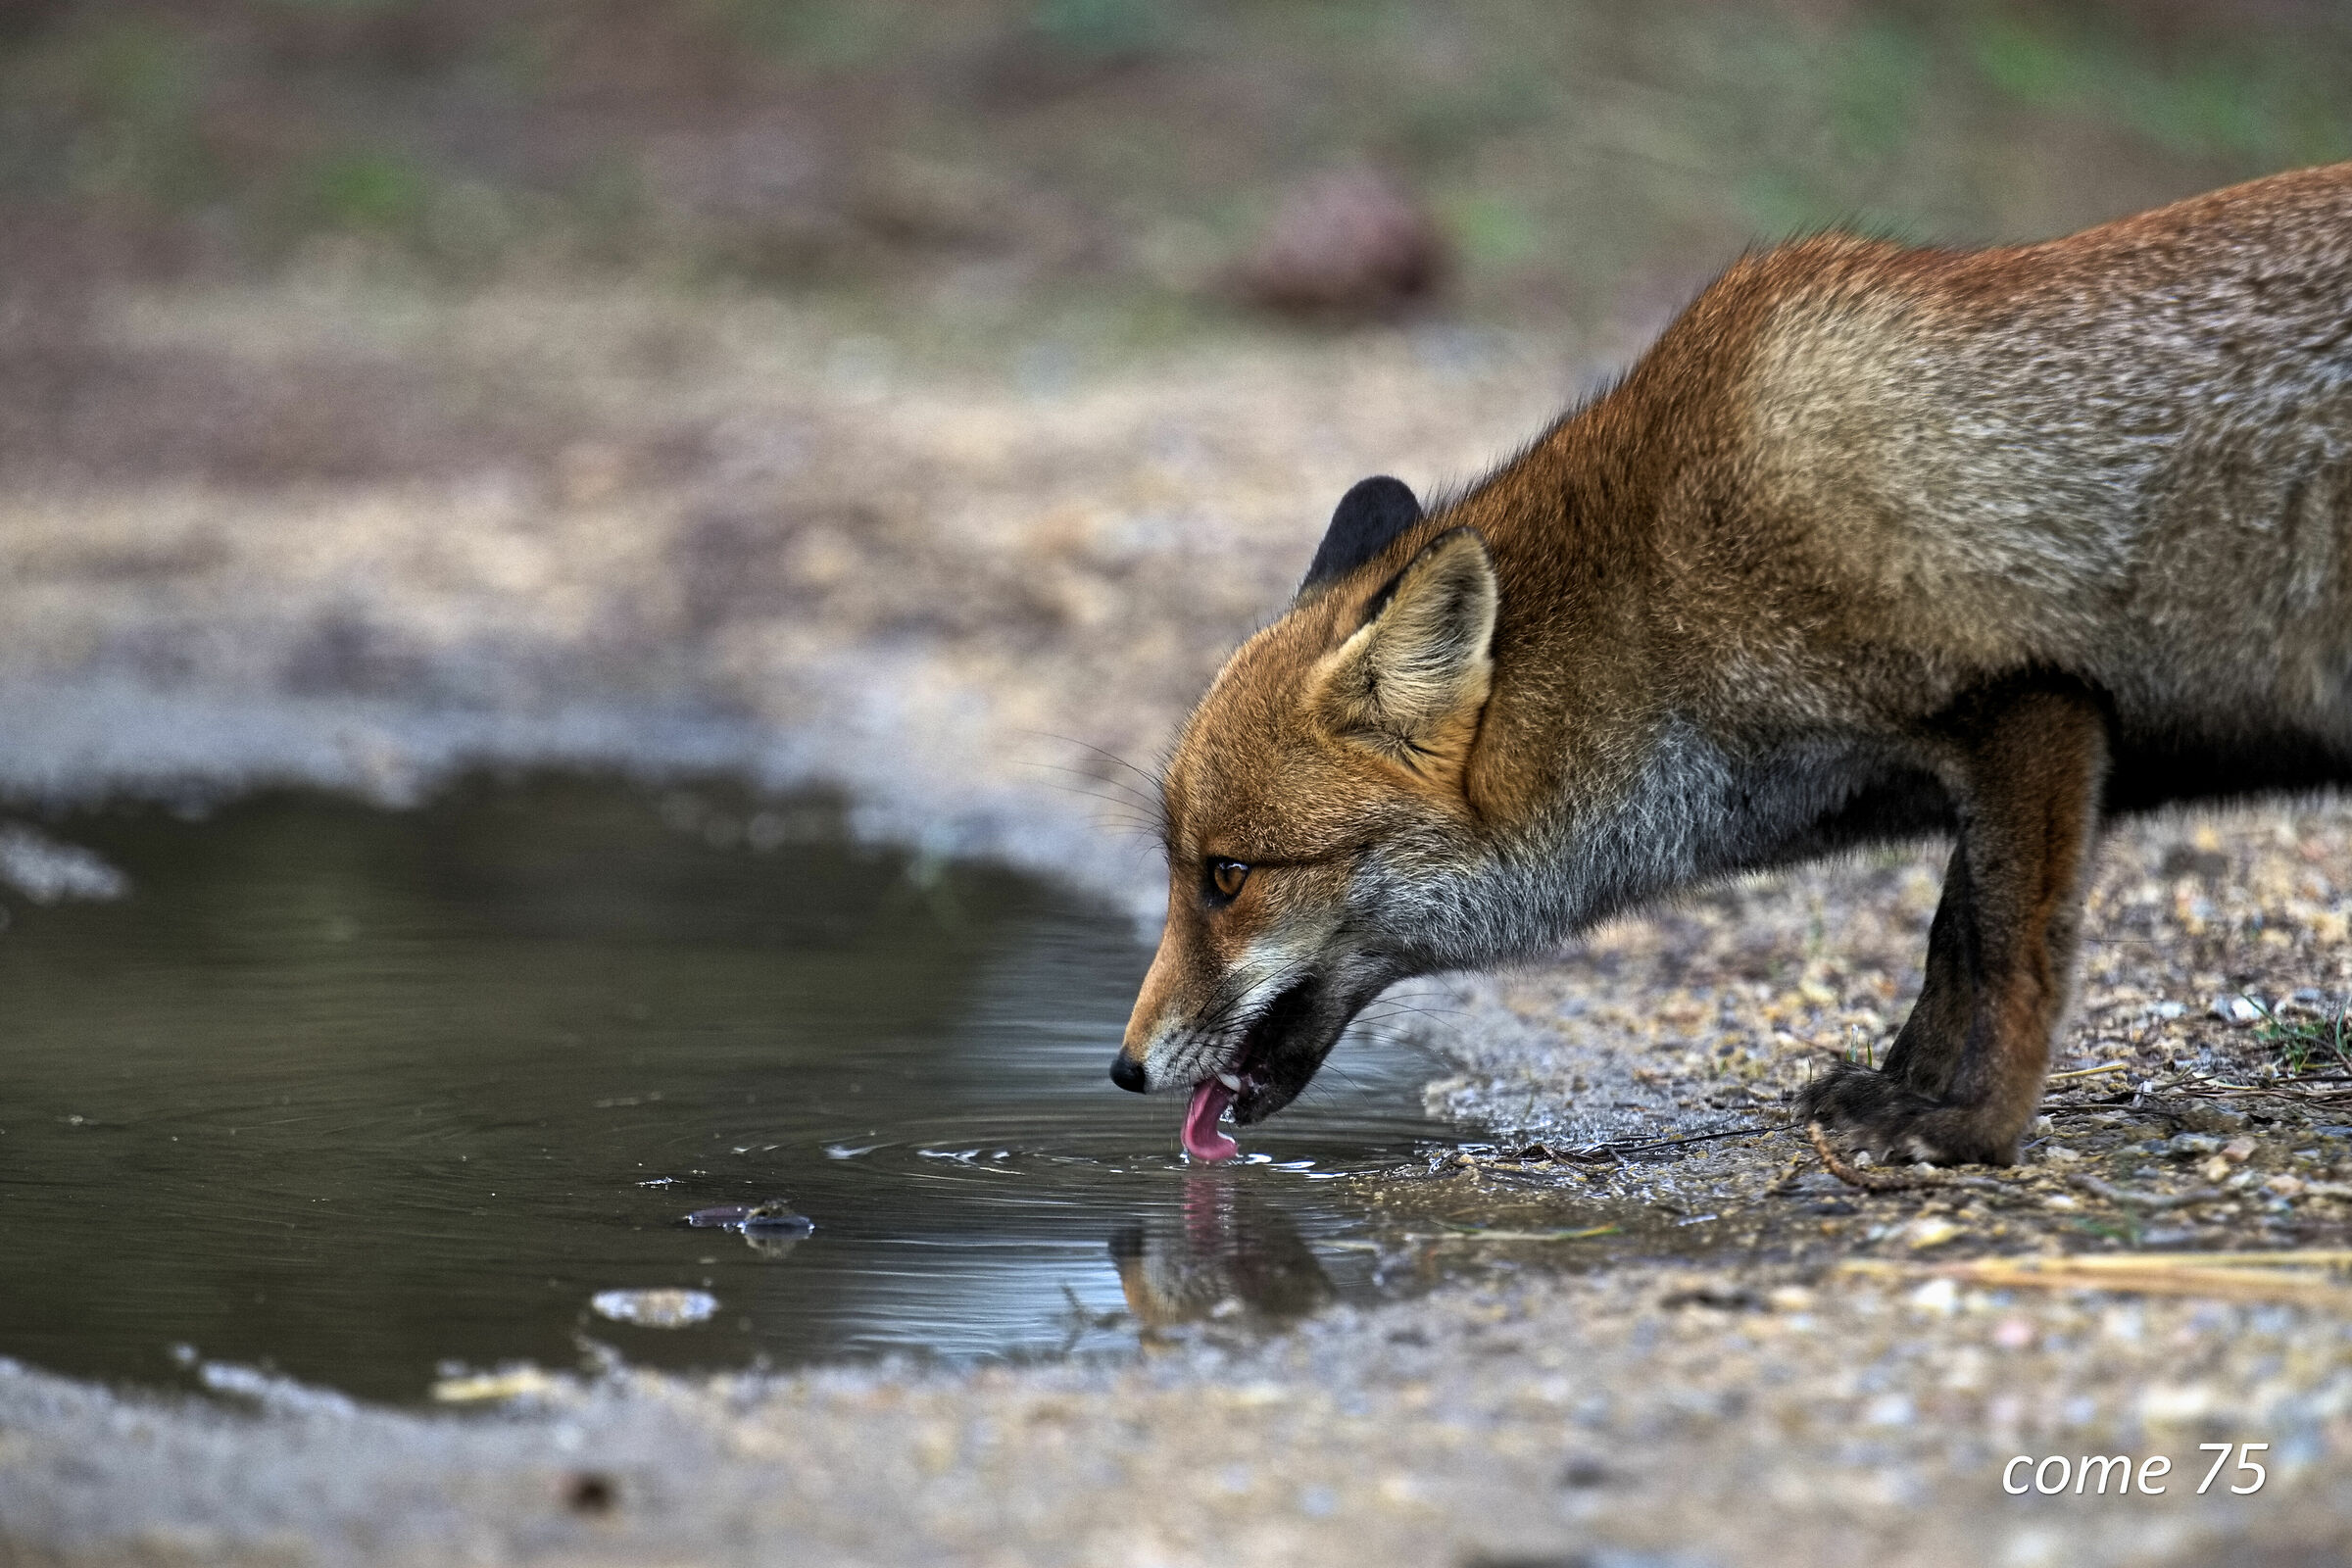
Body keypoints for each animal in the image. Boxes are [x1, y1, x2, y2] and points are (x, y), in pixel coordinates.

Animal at [1110, 162, 2352, 1167]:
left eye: (1227, 875)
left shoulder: (2026, 701)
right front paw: (1904, 1084)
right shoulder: (1986, 753)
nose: (1121, 1069)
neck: (1673, 563)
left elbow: (2007, 949)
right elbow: (1950, 942)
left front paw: (1969, 1129)